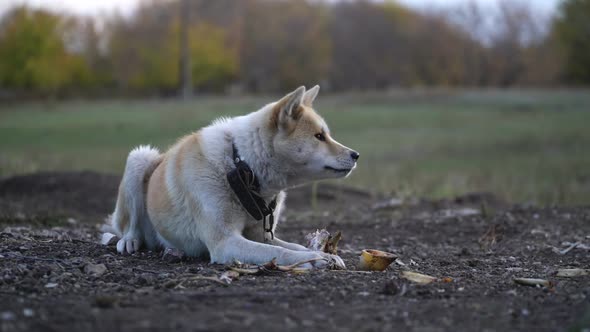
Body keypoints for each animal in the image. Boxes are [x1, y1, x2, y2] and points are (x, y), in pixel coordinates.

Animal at [103, 86, 358, 270]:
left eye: (326, 135)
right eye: (319, 136)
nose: (356, 155)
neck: (241, 166)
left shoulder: (262, 235)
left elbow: (292, 245)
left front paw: (325, 255)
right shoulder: (225, 242)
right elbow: (281, 252)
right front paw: (315, 259)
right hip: (139, 158)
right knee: (127, 225)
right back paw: (130, 240)